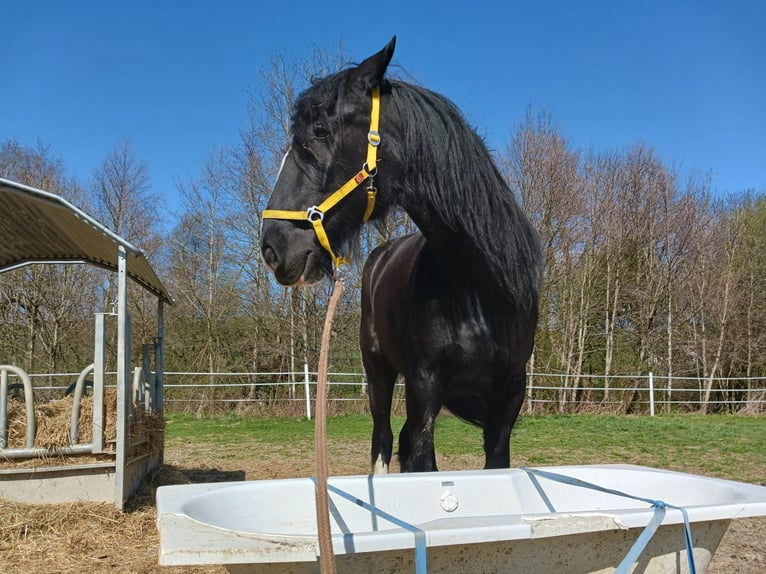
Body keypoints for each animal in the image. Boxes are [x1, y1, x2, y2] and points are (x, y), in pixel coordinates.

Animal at [261, 37, 542, 473]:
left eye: (320, 130)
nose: (272, 246)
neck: (479, 286)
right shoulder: (423, 382)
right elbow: (421, 462)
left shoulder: (509, 396)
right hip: (379, 372)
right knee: (383, 438)